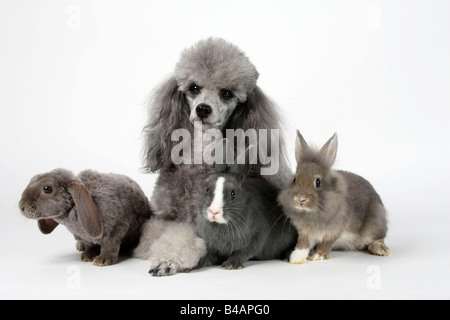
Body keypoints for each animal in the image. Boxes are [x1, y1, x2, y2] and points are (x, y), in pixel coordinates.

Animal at [19, 169, 152, 266]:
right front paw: (87, 256)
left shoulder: (117, 228)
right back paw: (80, 247)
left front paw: (103, 260)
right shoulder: (83, 237)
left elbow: (110, 245)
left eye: (47, 189)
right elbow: (90, 245)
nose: (21, 207)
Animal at [278, 131, 390, 264]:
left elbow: (326, 243)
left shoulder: (334, 231)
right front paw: (296, 258)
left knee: (377, 238)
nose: (301, 199)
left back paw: (380, 250)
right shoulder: (305, 232)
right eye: (295, 179)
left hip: (375, 223)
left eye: (318, 182)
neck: (312, 212)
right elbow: (303, 243)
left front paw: (319, 255)